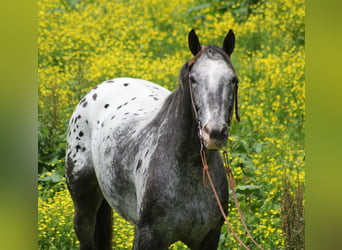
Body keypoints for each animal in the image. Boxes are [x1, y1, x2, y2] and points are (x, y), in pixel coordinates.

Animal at [65, 28, 239, 249]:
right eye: (193, 79)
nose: (214, 133)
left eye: (233, 79)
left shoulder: (209, 237)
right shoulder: (150, 237)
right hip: (84, 200)